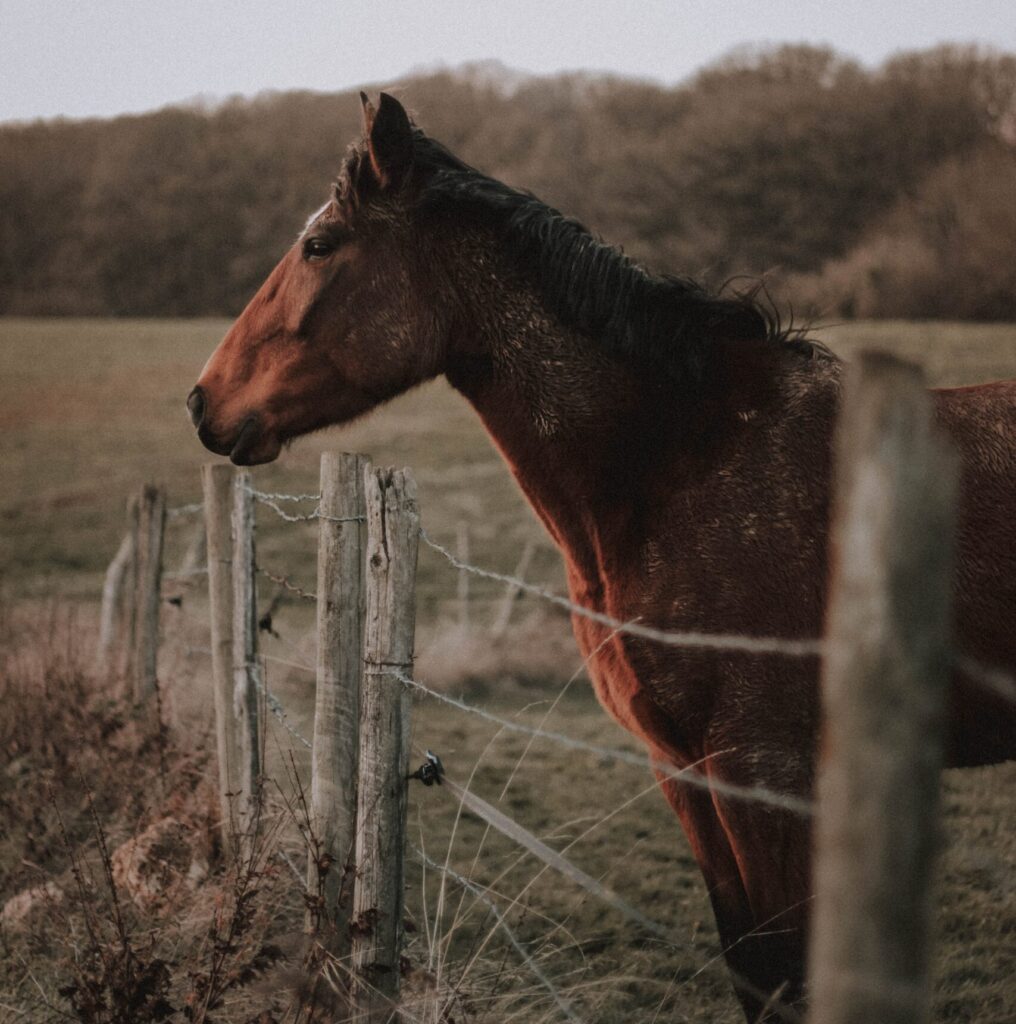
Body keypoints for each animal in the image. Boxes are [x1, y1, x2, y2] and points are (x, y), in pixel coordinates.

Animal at [188, 92, 1016, 1020]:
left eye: (321, 246)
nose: (204, 401)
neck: (682, 460)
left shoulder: (766, 770)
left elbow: (786, 978)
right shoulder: (683, 769)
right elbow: (753, 966)